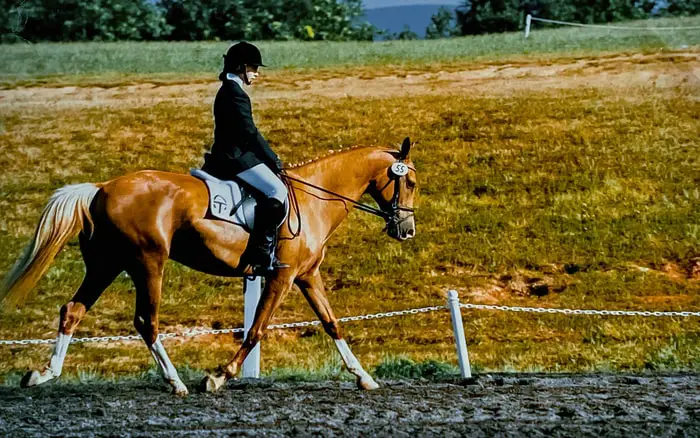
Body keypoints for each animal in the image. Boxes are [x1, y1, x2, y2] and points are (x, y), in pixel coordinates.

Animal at [0, 139, 416, 396]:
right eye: (409, 181)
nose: (407, 230)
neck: (314, 198)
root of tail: (102, 187)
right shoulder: (281, 277)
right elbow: (256, 329)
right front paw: (218, 377)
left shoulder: (306, 276)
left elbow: (331, 323)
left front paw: (364, 377)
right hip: (147, 263)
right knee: (146, 321)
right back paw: (176, 383)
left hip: (105, 265)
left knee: (73, 311)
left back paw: (43, 374)